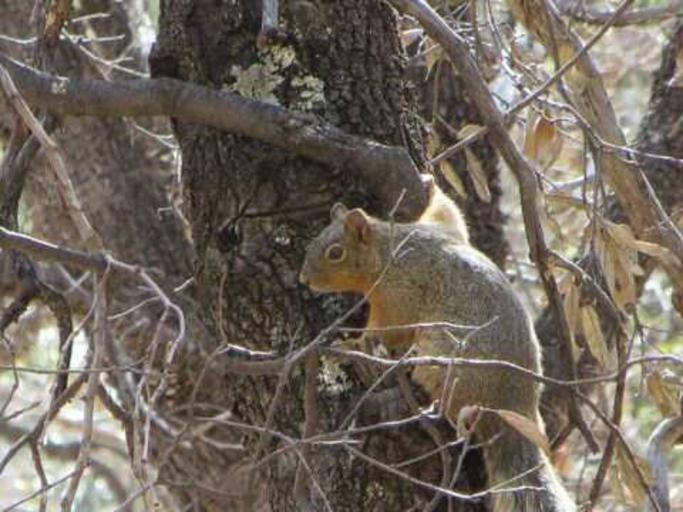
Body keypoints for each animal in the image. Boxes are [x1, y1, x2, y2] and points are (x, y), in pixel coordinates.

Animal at [302, 196, 576, 512]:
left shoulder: (400, 297)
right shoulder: (441, 228)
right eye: (314, 241)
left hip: (445, 362)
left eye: (335, 253)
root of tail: (510, 406)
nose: (304, 279)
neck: (387, 252)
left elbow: (388, 330)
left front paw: (351, 346)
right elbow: (448, 212)